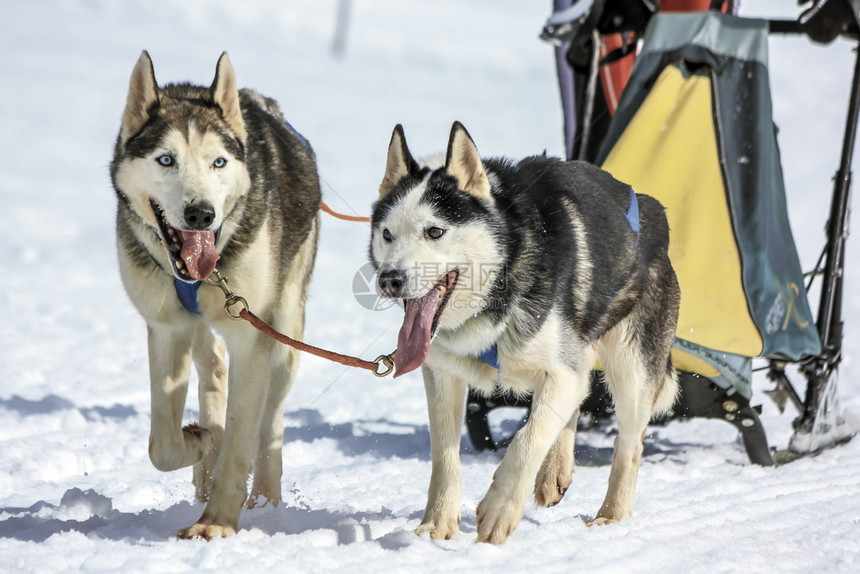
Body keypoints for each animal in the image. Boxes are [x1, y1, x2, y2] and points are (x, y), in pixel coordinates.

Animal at [111, 53, 320, 540]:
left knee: (269, 424)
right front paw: (202, 441)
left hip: (285, 330)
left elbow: (243, 439)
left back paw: (264, 499)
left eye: (219, 163)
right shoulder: (166, 328)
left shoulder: (252, 339)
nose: (201, 214)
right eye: (166, 159)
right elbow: (163, 445)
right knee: (213, 367)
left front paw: (217, 522)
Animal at [370, 121, 680, 544]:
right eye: (387, 234)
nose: (389, 280)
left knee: (627, 445)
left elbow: (527, 439)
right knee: (575, 403)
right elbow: (445, 456)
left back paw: (610, 517)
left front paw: (499, 509)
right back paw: (554, 472)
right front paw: (436, 524)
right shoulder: (442, 374)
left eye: (434, 231)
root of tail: (652, 210)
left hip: (632, 370)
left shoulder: (561, 372)